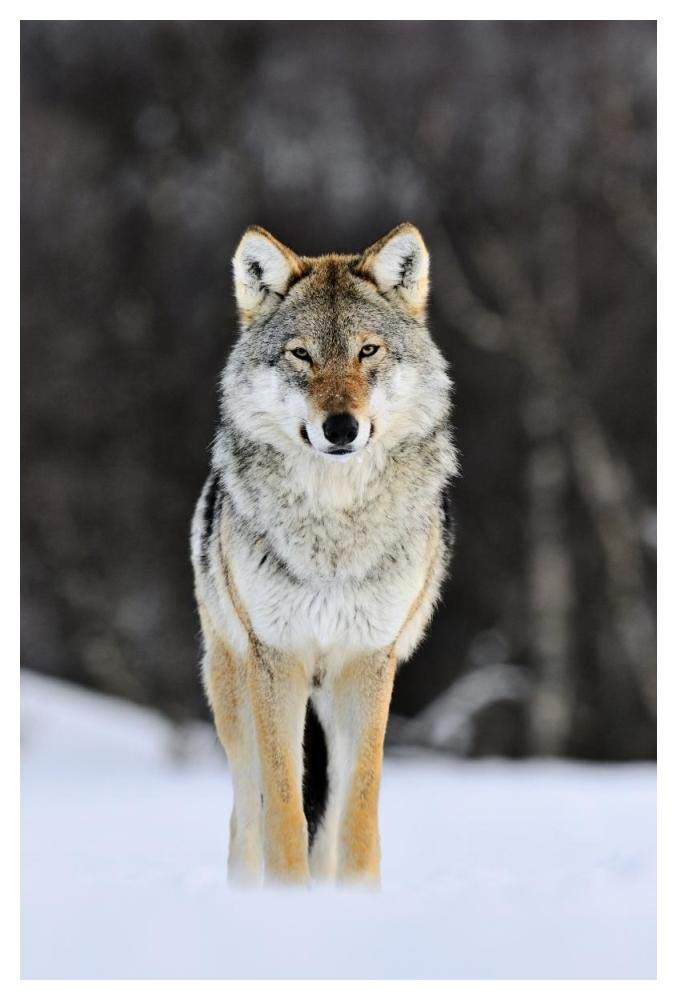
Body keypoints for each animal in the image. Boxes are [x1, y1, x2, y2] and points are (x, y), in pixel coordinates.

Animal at [191, 223, 457, 887]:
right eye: (302, 355)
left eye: (368, 351)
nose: (341, 427)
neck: (334, 538)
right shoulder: (276, 661)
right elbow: (283, 809)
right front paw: (288, 899)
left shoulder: (368, 663)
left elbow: (358, 812)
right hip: (233, 691)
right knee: (246, 811)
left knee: (332, 816)